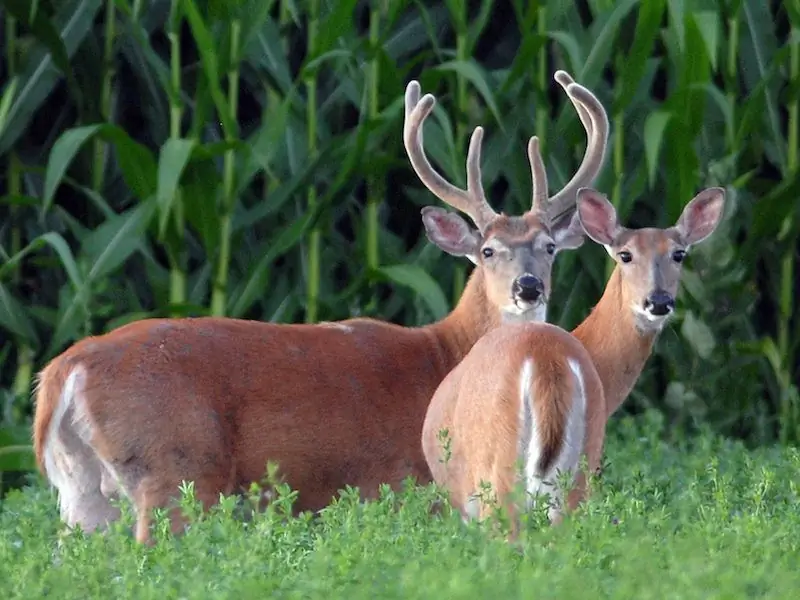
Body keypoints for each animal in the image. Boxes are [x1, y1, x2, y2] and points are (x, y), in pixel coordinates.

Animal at [28, 70, 608, 544]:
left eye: (549, 247)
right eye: (488, 250)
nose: (528, 287)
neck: (445, 350)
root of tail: (64, 373)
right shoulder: (401, 484)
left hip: (82, 488)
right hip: (174, 469)